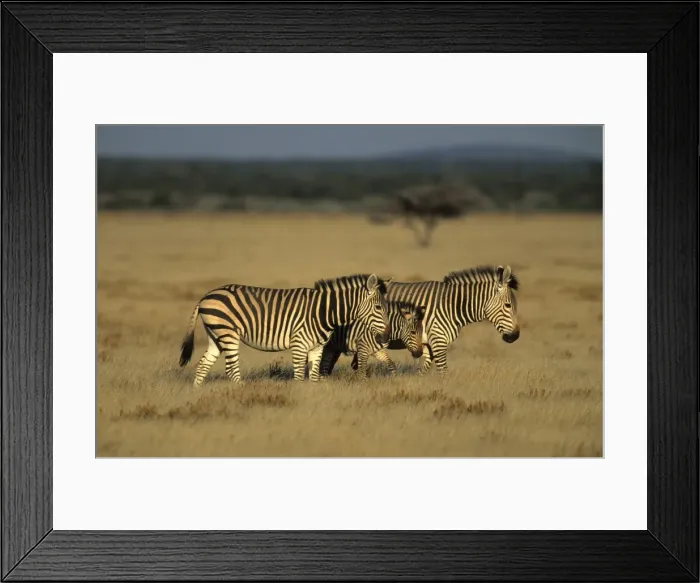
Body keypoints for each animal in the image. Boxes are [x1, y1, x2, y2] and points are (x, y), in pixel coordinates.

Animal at [178, 273, 391, 385]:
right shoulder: (299, 344)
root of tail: (206, 296)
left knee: (203, 365)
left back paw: (197, 395)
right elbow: (298, 377)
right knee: (231, 369)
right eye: (378, 308)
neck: (324, 311)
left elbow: (314, 377)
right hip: (227, 333)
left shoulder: (317, 347)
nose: (387, 337)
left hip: (216, 335)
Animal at [376, 265, 520, 375]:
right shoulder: (438, 340)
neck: (451, 306)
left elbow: (424, 370)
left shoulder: (429, 343)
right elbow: (443, 371)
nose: (516, 336)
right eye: (508, 305)